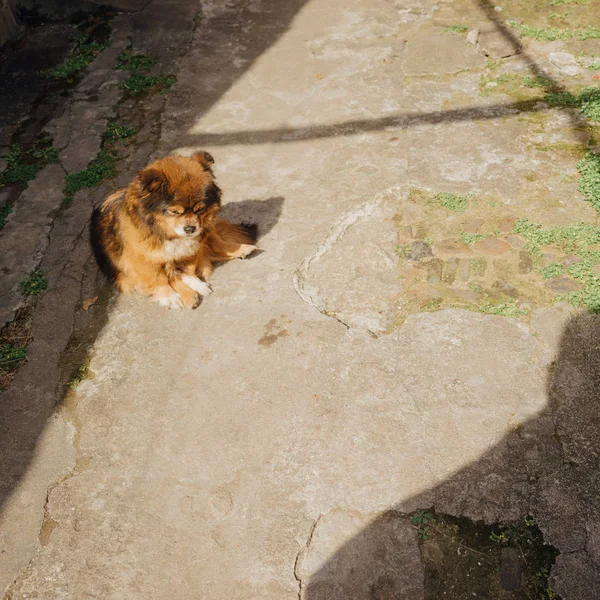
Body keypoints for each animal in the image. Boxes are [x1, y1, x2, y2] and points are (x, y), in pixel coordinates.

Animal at [91, 150, 258, 310]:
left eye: (200, 209)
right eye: (174, 211)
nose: (190, 229)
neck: (168, 234)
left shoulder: (191, 249)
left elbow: (188, 270)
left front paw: (195, 284)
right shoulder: (144, 259)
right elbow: (160, 279)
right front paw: (170, 296)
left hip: (207, 229)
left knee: (215, 243)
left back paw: (241, 249)